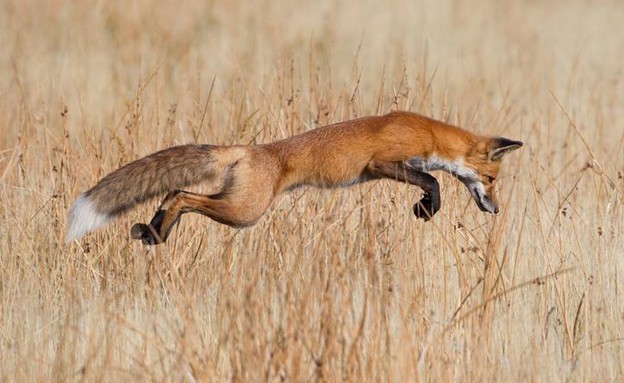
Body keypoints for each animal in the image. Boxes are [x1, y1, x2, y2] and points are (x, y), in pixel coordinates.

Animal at [64, 110, 520, 246]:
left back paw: (154, 233)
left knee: (174, 192)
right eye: (492, 179)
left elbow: (431, 181)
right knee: (179, 194)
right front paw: (427, 208)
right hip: (244, 212)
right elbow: (434, 182)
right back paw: (158, 233)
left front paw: (426, 208)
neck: (428, 132)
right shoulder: (380, 163)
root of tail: (249, 149)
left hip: (236, 204)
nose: (497, 209)